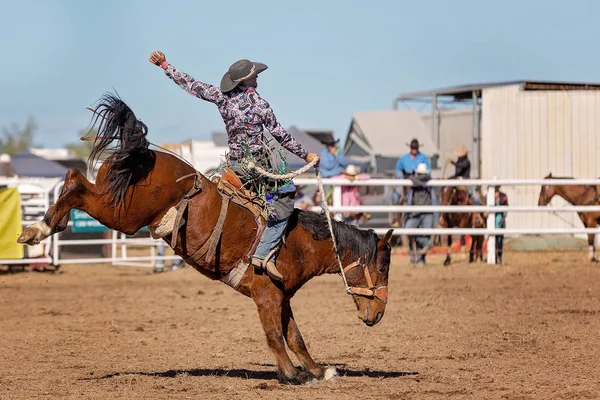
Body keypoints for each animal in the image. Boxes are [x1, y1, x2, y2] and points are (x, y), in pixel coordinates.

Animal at [17, 94, 394, 384]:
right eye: (383, 267)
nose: (378, 314)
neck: (298, 241)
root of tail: (144, 152)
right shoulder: (266, 295)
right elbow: (275, 336)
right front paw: (290, 374)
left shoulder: (282, 296)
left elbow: (295, 337)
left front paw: (318, 371)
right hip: (123, 213)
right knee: (76, 184)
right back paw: (38, 230)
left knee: (74, 176)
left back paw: (41, 226)